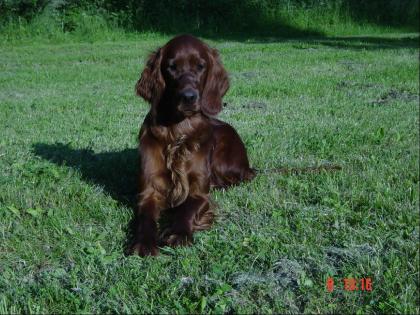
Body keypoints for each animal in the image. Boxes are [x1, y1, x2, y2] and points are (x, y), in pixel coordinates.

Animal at [133, 34, 254, 256]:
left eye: (200, 66)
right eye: (171, 67)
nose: (188, 97)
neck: (178, 131)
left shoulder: (199, 191)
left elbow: (187, 208)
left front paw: (179, 233)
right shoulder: (149, 190)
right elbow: (146, 217)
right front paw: (144, 242)